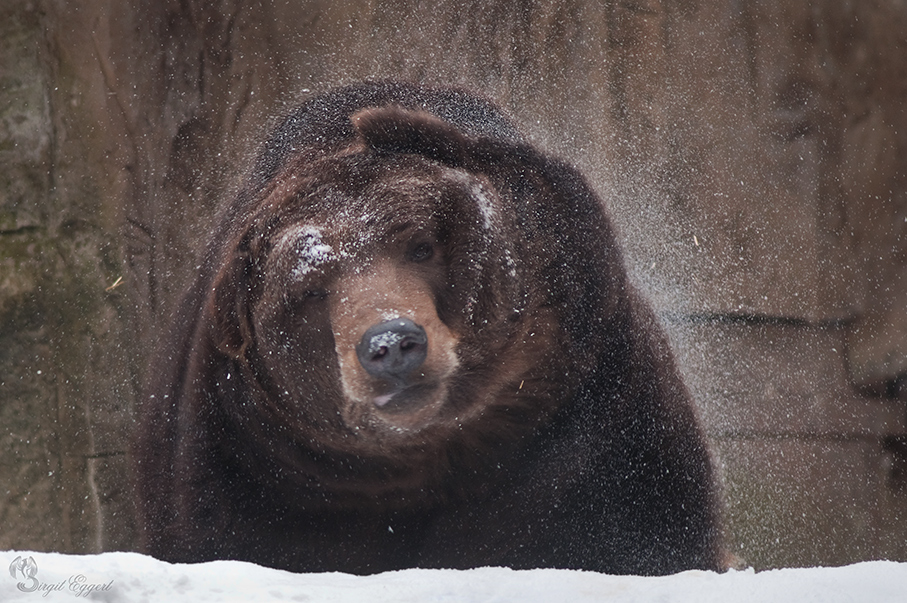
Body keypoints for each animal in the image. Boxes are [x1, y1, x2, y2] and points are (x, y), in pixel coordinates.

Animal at [131, 79, 724, 576]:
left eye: (421, 245)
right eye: (310, 289)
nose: (392, 344)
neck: (434, 457)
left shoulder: (593, 437)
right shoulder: (259, 477)